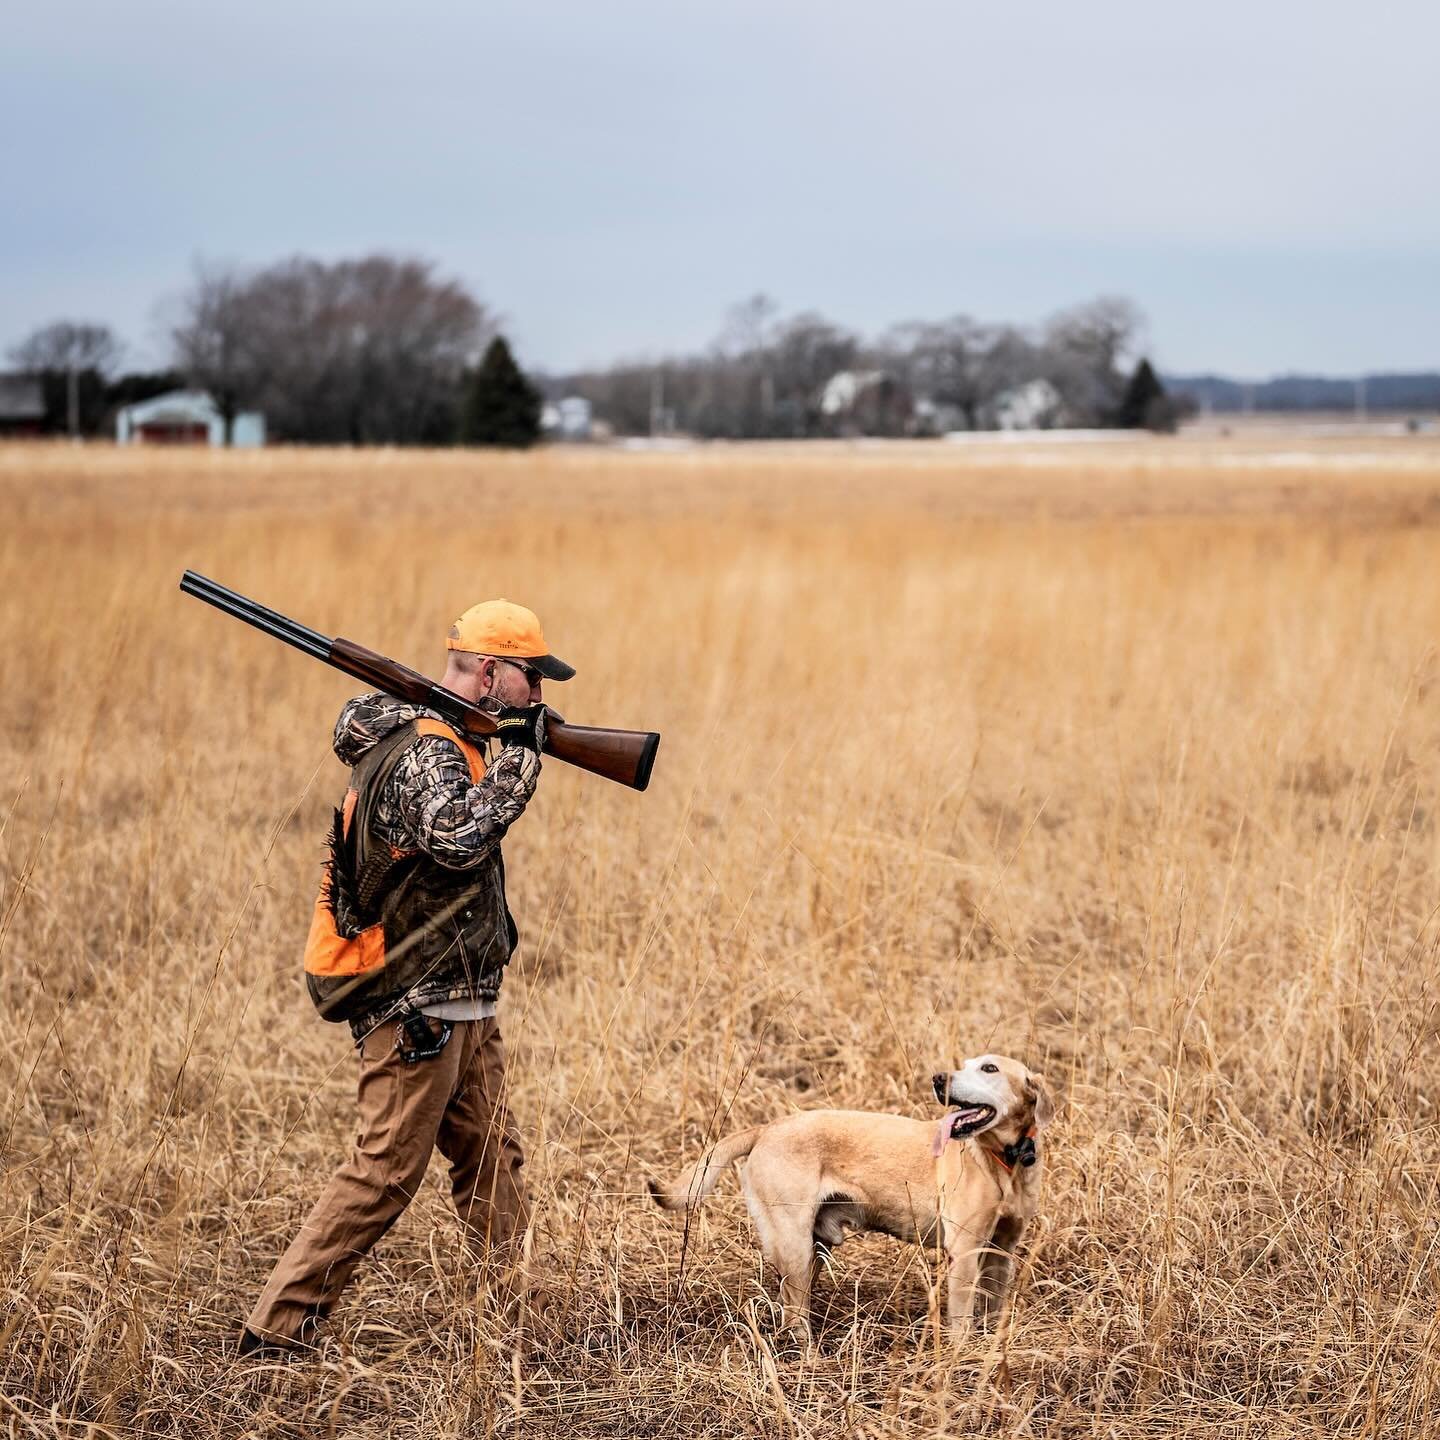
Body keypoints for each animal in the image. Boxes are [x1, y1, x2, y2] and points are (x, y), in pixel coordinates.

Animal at [648, 1059, 1054, 1336]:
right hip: (794, 1244)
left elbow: (994, 1307)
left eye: (989, 1067)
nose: (939, 1079)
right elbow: (961, 1321)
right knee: (794, 1315)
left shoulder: (1002, 1249)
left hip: (815, 1246)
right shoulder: (965, 1251)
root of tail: (768, 1127)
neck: (1006, 1163)